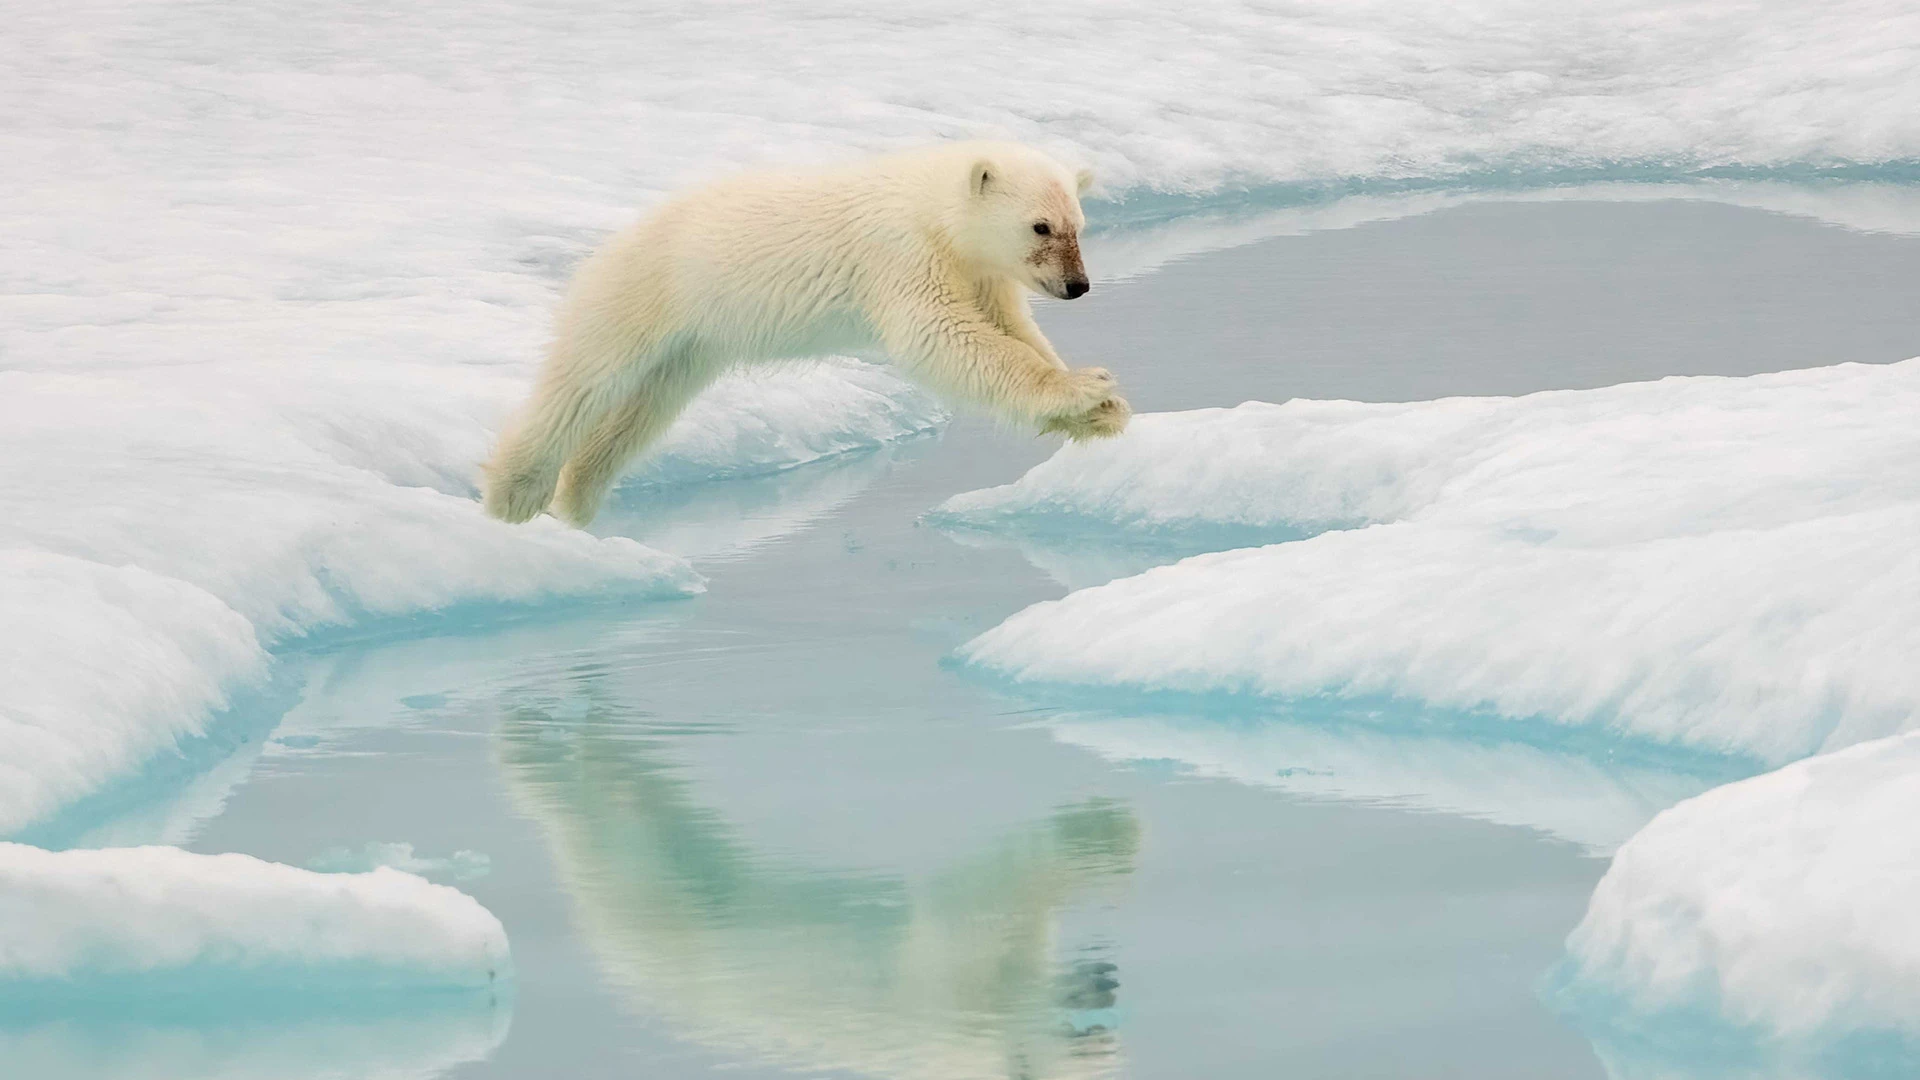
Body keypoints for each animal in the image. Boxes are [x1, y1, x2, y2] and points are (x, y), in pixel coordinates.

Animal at [482, 140, 1130, 527]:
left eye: (1078, 224)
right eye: (1040, 226)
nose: (1078, 286)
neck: (930, 209)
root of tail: (610, 243)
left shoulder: (979, 272)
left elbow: (1012, 330)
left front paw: (1102, 411)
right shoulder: (902, 256)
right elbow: (943, 338)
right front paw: (1089, 387)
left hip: (690, 345)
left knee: (640, 413)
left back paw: (577, 497)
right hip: (644, 292)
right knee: (585, 381)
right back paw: (515, 494)